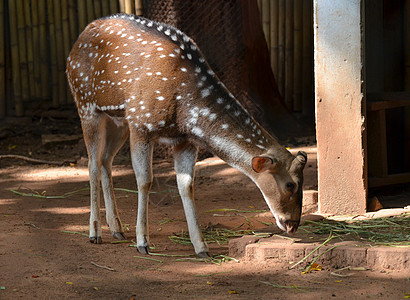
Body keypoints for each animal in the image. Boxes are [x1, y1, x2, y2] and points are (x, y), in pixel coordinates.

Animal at [66, 14, 304, 256]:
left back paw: (117, 229)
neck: (186, 113)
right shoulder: (141, 124)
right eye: (290, 185)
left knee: (105, 160)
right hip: (86, 105)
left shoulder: (184, 141)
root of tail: (80, 37)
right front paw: (143, 242)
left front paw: (201, 247)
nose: (293, 224)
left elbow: (186, 186)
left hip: (118, 120)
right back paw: (95, 233)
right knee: (93, 164)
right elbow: (145, 180)